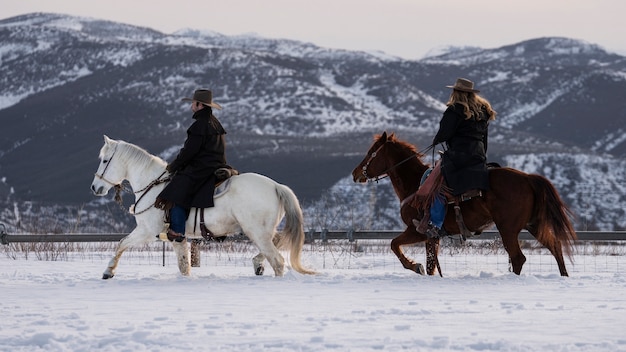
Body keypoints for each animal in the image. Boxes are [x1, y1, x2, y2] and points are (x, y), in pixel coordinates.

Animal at [90, 136, 314, 280]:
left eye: (104, 160)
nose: (94, 187)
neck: (153, 185)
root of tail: (276, 186)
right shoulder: (177, 237)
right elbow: (183, 265)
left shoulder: (146, 231)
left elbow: (121, 244)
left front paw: (108, 272)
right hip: (263, 232)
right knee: (277, 243)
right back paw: (258, 264)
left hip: (257, 232)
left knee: (277, 260)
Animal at [352, 131, 576, 276]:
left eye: (371, 152)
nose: (355, 173)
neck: (414, 185)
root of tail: (528, 178)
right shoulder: (433, 237)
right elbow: (432, 264)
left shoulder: (417, 230)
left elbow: (394, 244)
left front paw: (415, 266)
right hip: (533, 224)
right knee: (555, 247)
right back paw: (564, 276)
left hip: (508, 228)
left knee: (518, 257)